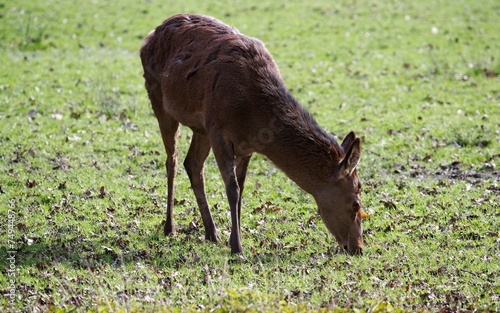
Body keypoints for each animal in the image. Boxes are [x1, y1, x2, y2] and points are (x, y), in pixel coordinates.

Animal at [139, 13, 366, 255]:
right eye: (356, 203)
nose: (358, 247)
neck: (253, 113)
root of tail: (150, 36)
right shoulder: (218, 130)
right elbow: (232, 189)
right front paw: (237, 247)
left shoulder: (246, 145)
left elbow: (241, 189)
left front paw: (235, 237)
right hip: (157, 97)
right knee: (171, 160)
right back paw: (170, 227)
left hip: (201, 128)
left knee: (192, 164)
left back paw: (211, 232)